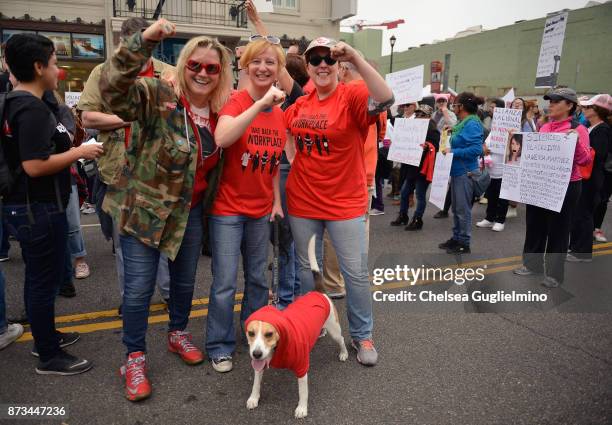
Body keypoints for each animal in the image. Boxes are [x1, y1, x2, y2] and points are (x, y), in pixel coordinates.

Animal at [245, 235, 350, 418]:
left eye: (269, 334)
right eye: (251, 333)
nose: (256, 354)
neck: (278, 346)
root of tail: (318, 291)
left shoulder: (302, 367)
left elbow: (303, 392)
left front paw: (302, 408)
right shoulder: (259, 363)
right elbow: (256, 382)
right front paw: (253, 398)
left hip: (335, 330)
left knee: (342, 339)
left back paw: (343, 353)